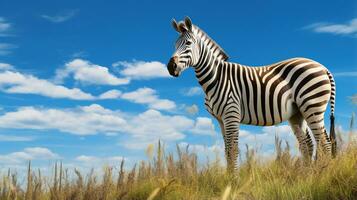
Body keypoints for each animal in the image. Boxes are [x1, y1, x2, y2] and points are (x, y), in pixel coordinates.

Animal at [165, 16, 336, 171]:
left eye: (188, 43)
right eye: (174, 44)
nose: (170, 67)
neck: (216, 77)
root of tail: (323, 67)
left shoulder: (231, 114)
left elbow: (233, 150)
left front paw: (234, 181)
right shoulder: (221, 120)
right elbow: (227, 151)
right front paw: (229, 180)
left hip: (312, 106)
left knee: (325, 143)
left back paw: (324, 175)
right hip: (297, 113)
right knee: (308, 144)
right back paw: (307, 176)